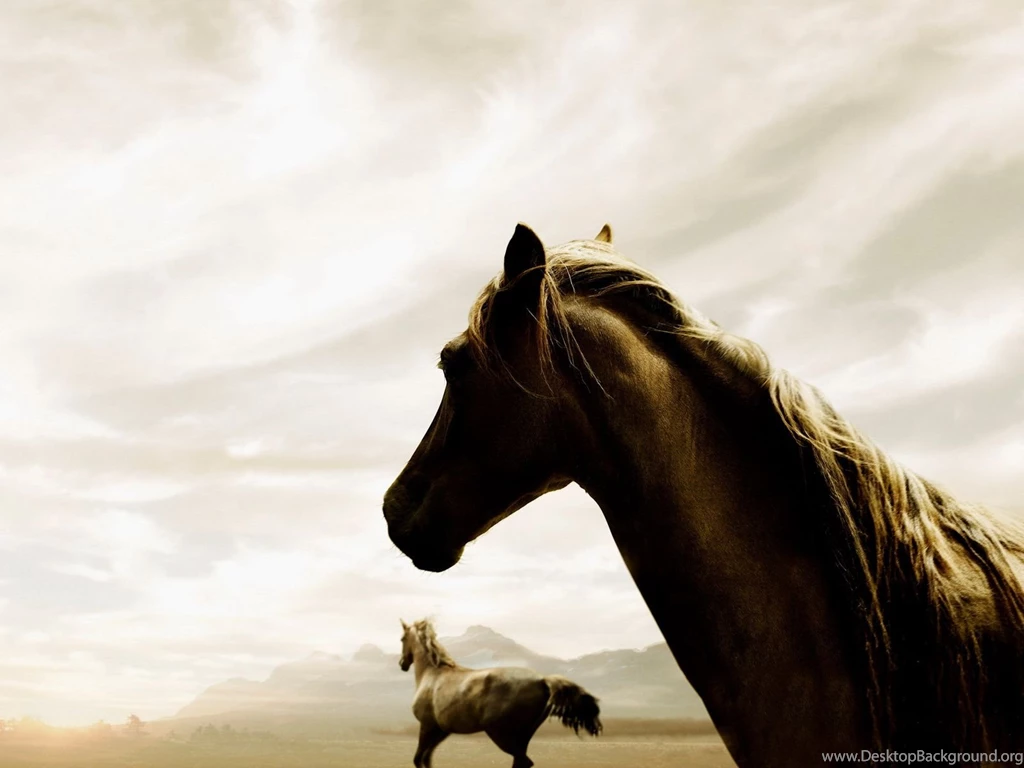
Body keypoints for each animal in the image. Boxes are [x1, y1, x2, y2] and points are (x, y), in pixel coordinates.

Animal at [397, 618, 601, 767]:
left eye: (402, 639)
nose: (402, 664)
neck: (432, 673)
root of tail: (543, 681)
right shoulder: (441, 730)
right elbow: (426, 759)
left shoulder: (427, 726)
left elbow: (418, 759)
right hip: (522, 736)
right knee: (522, 761)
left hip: (500, 733)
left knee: (524, 761)